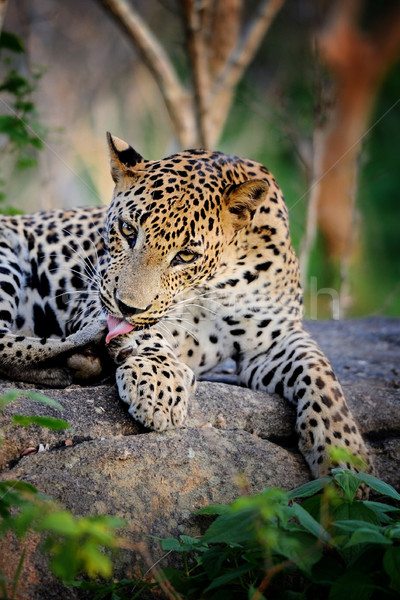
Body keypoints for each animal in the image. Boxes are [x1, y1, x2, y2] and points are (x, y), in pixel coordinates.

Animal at [0, 132, 376, 478]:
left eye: (186, 256)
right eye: (127, 229)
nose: (127, 307)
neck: (216, 282)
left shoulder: (274, 339)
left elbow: (321, 374)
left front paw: (346, 456)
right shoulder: (94, 295)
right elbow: (143, 332)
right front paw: (157, 382)